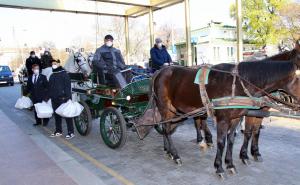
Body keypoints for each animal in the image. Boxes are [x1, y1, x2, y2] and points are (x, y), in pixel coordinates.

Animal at [154, 50, 300, 176]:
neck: (238, 84)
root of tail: (160, 72)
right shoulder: (224, 119)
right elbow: (222, 141)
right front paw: (220, 167)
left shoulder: (237, 118)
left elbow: (232, 139)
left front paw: (230, 164)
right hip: (165, 107)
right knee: (166, 128)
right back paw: (175, 154)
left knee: (170, 126)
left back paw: (170, 150)